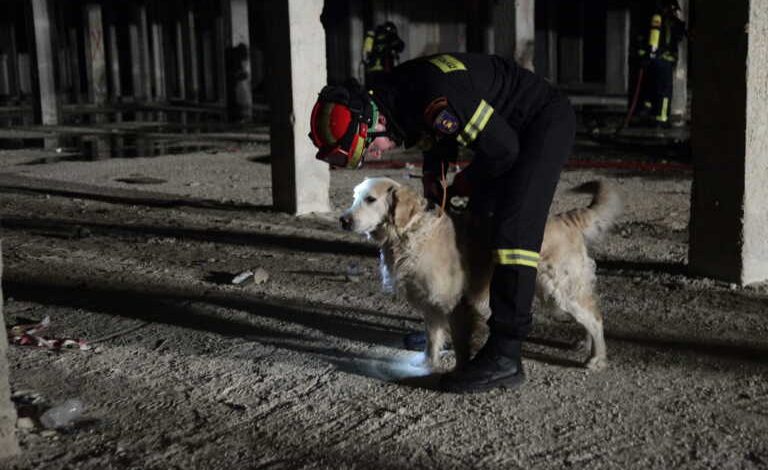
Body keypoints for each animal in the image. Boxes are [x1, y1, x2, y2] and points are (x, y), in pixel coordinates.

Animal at [342, 176, 624, 370]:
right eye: (354, 197)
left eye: (370, 199)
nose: (343, 220)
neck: (411, 234)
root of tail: (565, 218)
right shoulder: (431, 306)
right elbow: (432, 339)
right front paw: (428, 365)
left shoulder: (454, 305)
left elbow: (459, 344)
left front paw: (459, 371)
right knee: (590, 312)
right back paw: (586, 346)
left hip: (559, 290)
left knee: (595, 318)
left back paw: (597, 358)